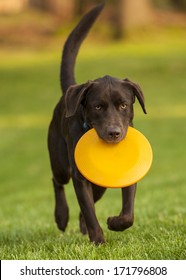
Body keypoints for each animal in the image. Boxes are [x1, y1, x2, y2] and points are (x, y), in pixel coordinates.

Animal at [47, 2, 146, 244]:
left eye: (123, 105)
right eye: (98, 107)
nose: (114, 133)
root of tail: (70, 89)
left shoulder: (127, 174)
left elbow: (128, 213)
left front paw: (114, 222)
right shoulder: (80, 177)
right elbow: (89, 211)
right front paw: (99, 241)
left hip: (100, 185)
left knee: (88, 204)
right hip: (60, 161)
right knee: (57, 182)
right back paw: (61, 217)